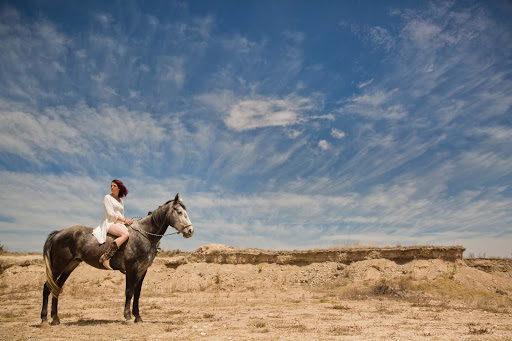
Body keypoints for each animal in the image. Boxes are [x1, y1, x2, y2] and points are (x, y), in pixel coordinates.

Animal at [40, 191, 194, 324]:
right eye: (179, 212)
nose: (190, 231)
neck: (145, 235)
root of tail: (58, 233)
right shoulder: (132, 268)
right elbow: (129, 291)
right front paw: (128, 316)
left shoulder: (142, 270)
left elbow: (137, 293)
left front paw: (138, 317)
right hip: (58, 265)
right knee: (48, 287)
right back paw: (44, 320)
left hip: (70, 265)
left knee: (57, 287)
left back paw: (55, 319)